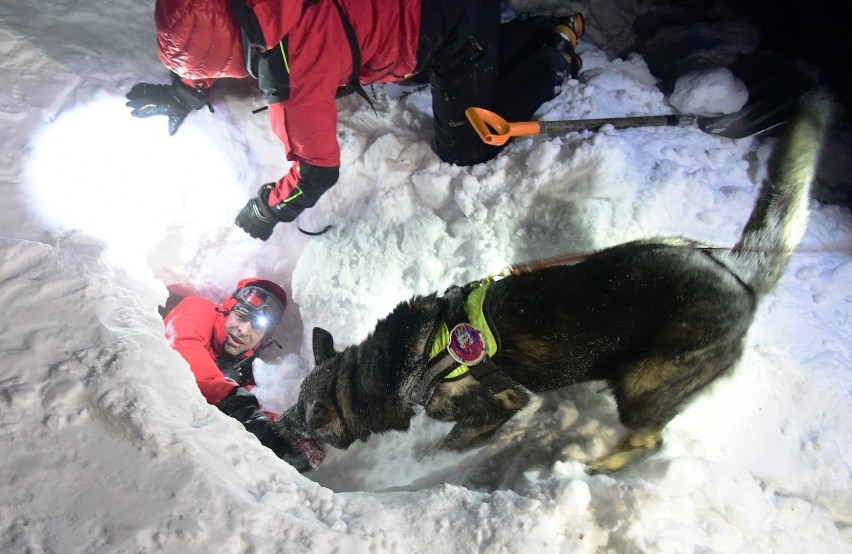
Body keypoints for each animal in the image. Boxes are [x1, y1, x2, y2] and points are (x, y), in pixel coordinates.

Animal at [278, 91, 832, 470]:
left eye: (304, 417)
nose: (275, 427)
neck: (393, 363)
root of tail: (737, 272)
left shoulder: (500, 404)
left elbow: (452, 441)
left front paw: (428, 461)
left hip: (644, 384)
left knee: (649, 438)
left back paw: (600, 466)